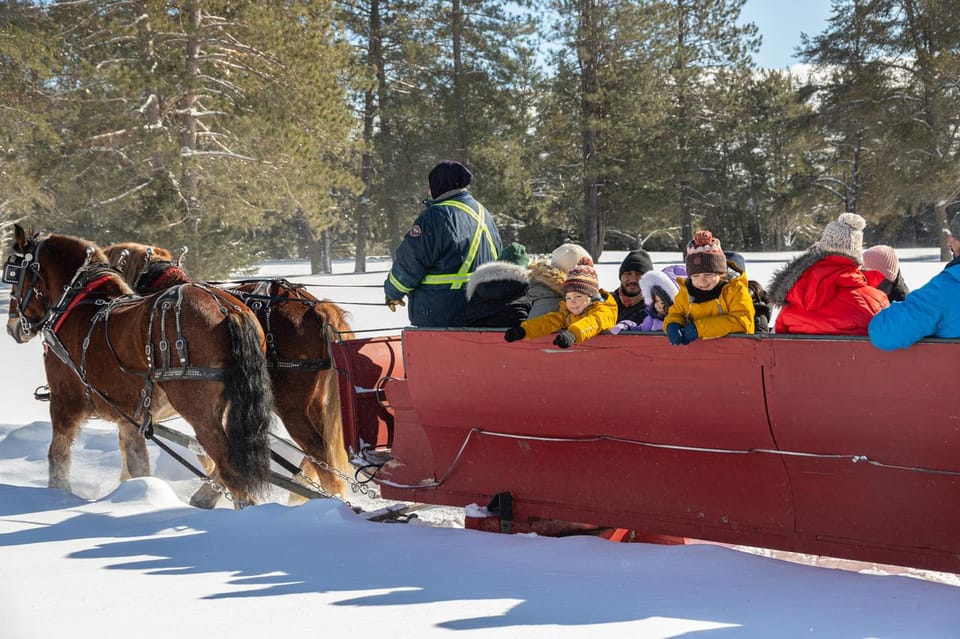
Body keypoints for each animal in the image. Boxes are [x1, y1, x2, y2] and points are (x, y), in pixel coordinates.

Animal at [6, 228, 274, 508]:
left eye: (12, 273)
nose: (12, 327)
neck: (79, 302)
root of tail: (227, 310)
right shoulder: (129, 416)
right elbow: (137, 464)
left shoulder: (64, 402)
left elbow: (57, 455)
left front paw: (57, 495)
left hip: (200, 411)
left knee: (230, 467)